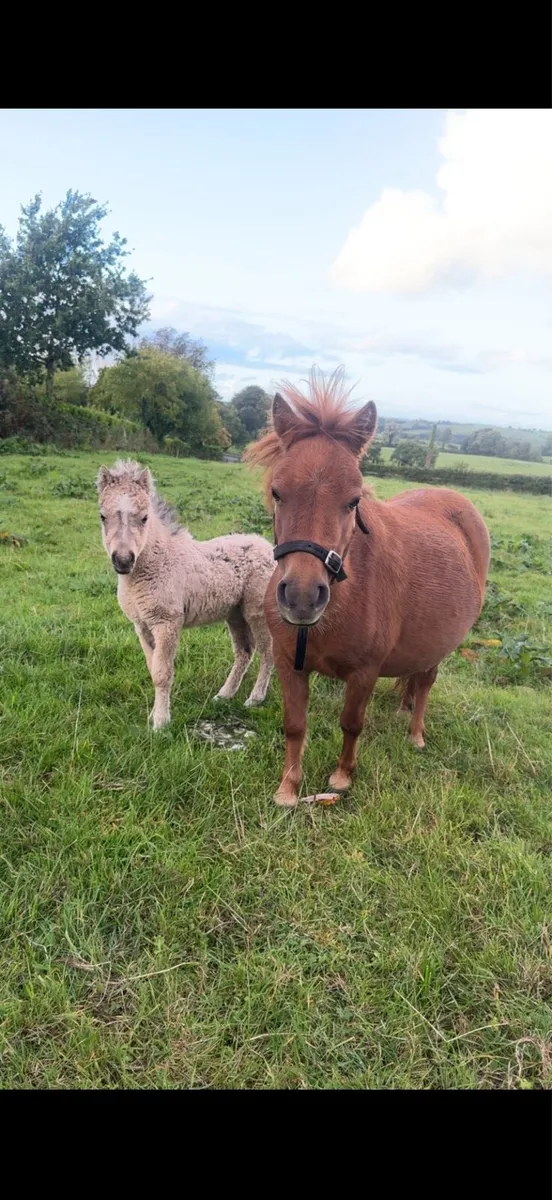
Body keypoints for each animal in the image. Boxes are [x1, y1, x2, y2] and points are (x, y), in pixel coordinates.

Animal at [96, 460, 274, 728]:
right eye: (102, 516)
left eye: (145, 517)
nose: (123, 561)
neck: (159, 561)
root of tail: (269, 548)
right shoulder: (142, 626)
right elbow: (152, 668)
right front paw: (153, 715)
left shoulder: (167, 622)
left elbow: (162, 673)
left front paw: (161, 723)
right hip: (235, 614)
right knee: (244, 651)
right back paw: (224, 695)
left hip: (256, 611)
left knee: (267, 651)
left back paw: (254, 698)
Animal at [245, 368, 491, 807]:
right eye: (277, 491)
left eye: (353, 500)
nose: (303, 597)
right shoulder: (291, 665)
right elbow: (294, 725)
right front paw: (288, 787)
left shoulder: (364, 673)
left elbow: (351, 723)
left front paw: (342, 777)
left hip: (442, 644)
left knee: (426, 682)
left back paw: (415, 734)